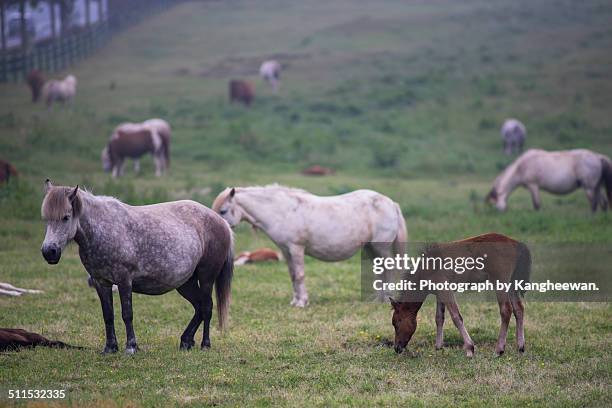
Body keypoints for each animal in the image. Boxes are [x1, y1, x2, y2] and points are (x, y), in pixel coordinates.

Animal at [40, 180, 232, 352]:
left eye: (66, 217)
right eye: (46, 218)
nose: (49, 252)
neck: (103, 229)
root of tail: (221, 222)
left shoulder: (124, 281)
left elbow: (127, 314)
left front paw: (131, 347)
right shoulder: (101, 282)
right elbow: (108, 315)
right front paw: (110, 348)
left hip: (206, 277)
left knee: (206, 307)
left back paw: (205, 344)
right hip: (186, 283)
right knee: (199, 307)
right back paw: (186, 341)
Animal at [392, 233, 532, 356]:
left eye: (396, 323)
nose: (397, 348)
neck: (427, 268)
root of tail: (516, 243)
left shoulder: (446, 290)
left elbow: (456, 317)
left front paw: (470, 348)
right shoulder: (439, 293)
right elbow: (439, 318)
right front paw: (438, 346)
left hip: (500, 283)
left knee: (506, 310)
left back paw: (499, 350)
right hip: (512, 285)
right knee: (519, 309)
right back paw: (520, 347)